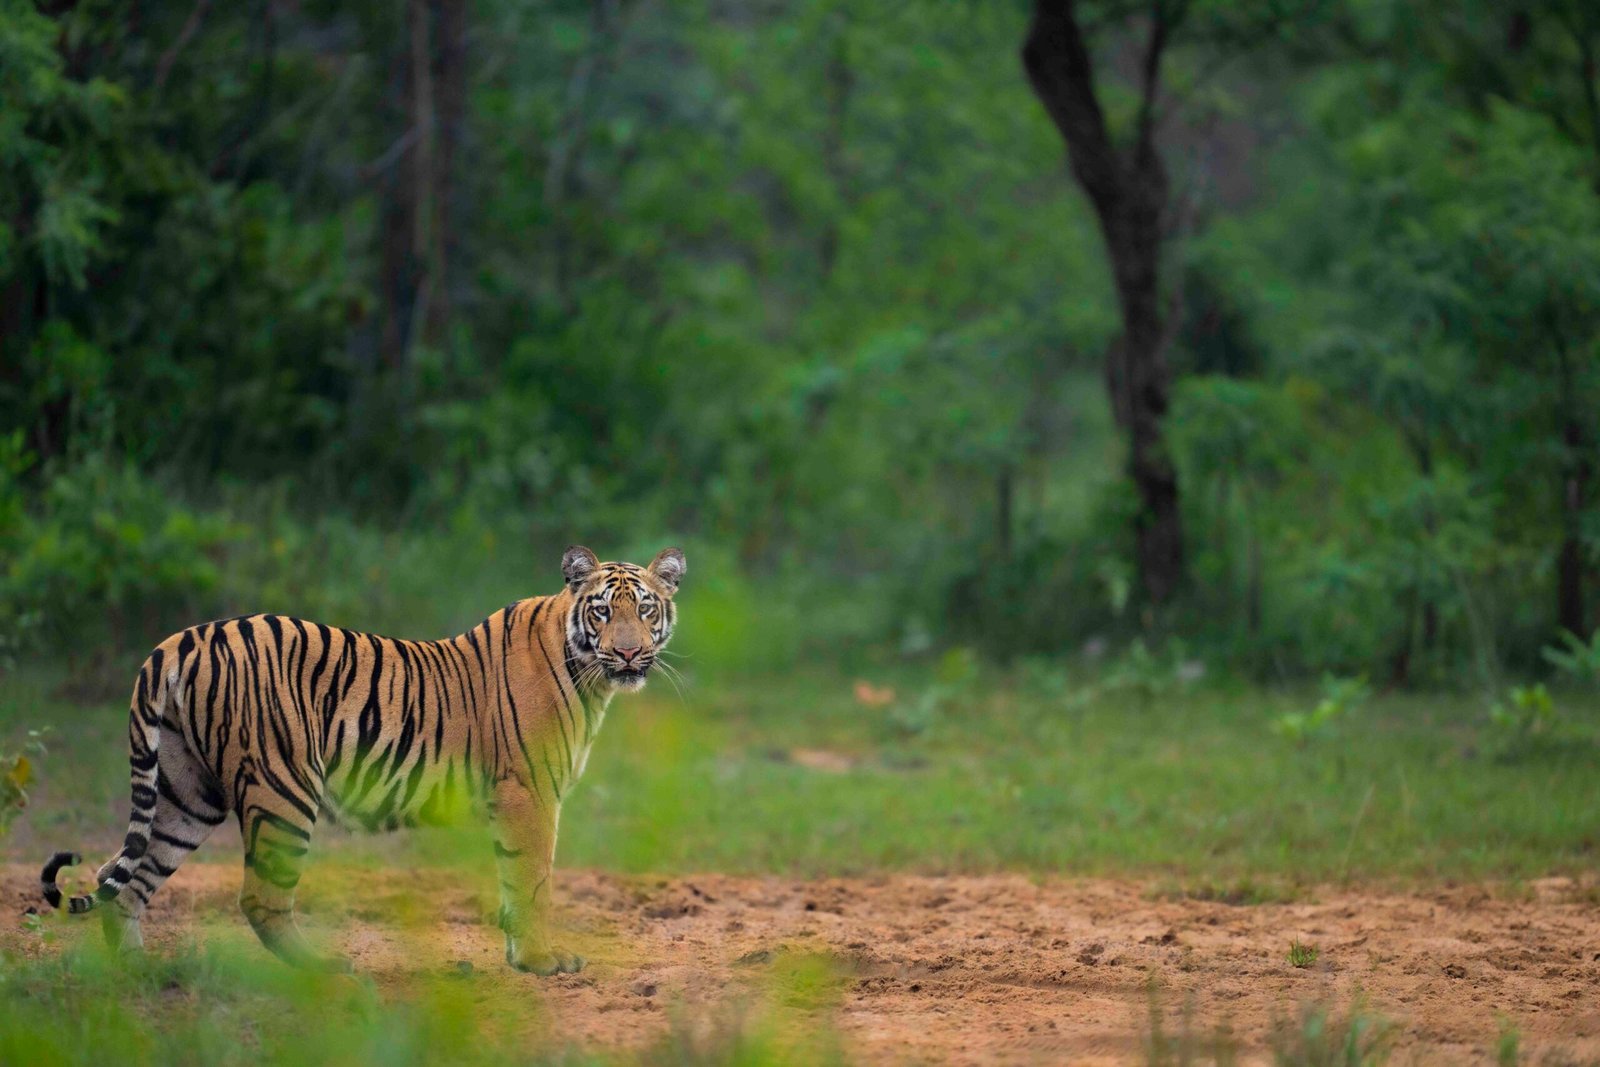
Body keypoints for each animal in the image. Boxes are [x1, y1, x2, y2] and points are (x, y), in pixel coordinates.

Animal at [40, 545, 684, 975]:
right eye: (602, 612)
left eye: (646, 610)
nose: (630, 653)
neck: (589, 677)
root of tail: (180, 641)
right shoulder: (528, 793)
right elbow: (532, 879)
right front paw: (540, 961)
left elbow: (514, 882)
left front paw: (520, 955)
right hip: (283, 787)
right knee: (259, 898)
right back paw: (322, 969)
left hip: (185, 791)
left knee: (122, 876)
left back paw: (135, 973)